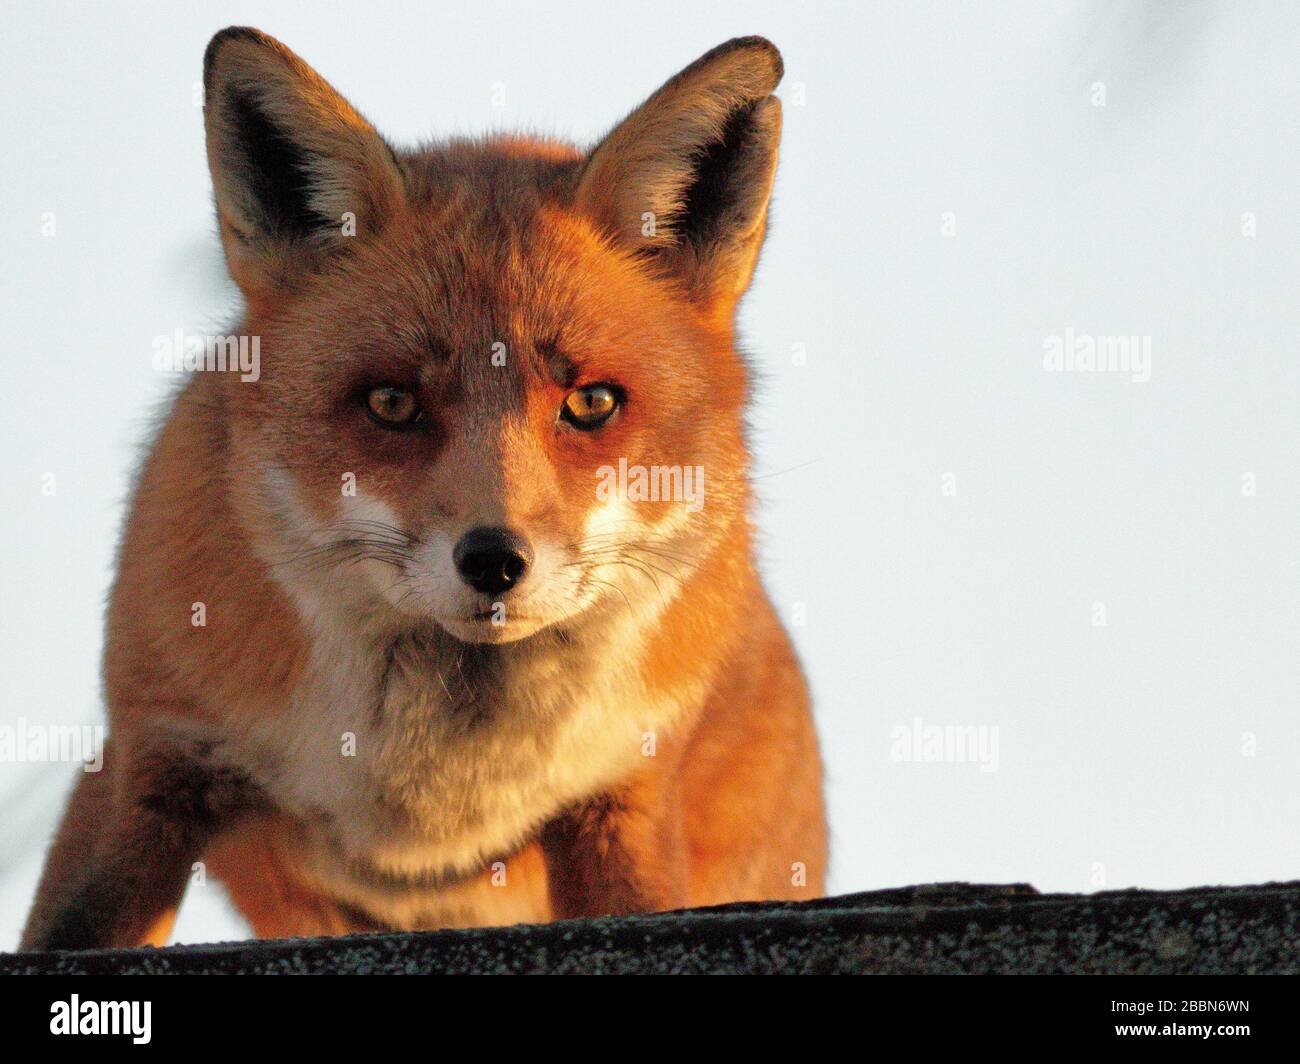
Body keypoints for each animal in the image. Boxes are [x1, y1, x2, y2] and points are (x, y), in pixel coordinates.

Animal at [20, 24, 826, 946]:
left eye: (591, 403)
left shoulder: (622, 799)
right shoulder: (150, 757)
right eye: (392, 402)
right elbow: (74, 922)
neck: (429, 790)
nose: (494, 561)